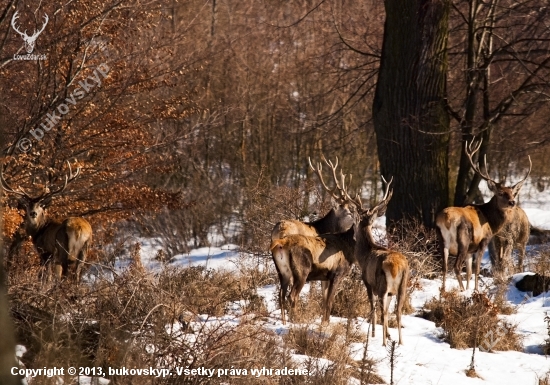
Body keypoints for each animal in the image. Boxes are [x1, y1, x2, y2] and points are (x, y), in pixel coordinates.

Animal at [352, 177, 408, 344]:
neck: (363, 257)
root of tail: (397, 266)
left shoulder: (367, 282)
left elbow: (373, 308)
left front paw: (373, 334)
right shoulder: (390, 293)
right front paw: (388, 334)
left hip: (383, 285)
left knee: (383, 311)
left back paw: (383, 343)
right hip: (403, 286)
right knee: (398, 312)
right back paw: (400, 342)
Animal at [438, 141, 532, 292]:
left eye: (512, 193)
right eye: (500, 193)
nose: (512, 202)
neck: (490, 221)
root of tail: (446, 219)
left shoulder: (471, 250)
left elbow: (469, 271)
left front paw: (470, 288)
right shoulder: (484, 240)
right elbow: (476, 269)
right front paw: (475, 290)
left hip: (442, 241)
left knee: (444, 267)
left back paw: (444, 291)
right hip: (464, 240)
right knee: (456, 267)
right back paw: (461, 290)